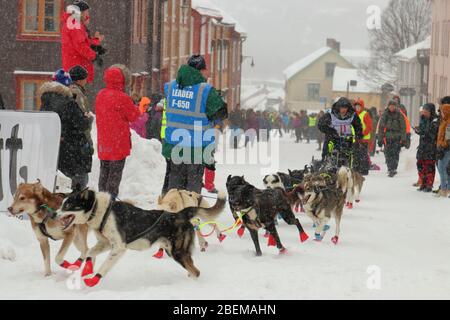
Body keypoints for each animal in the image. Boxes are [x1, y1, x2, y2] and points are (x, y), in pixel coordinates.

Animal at [56, 189, 225, 286]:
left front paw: (93, 279)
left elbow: (104, 266)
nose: (53, 215)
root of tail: (180, 213)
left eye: (68, 205)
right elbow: (90, 252)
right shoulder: (105, 243)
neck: (101, 210)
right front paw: (87, 269)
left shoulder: (118, 248)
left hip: (178, 252)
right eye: (62, 204)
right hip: (172, 250)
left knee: (196, 272)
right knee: (192, 269)